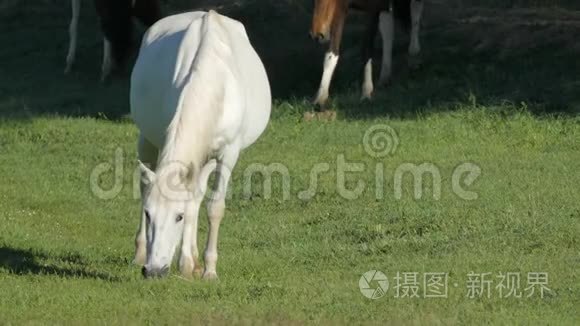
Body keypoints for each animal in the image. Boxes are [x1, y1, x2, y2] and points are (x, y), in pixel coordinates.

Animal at [130, 11, 270, 278]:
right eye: (149, 214)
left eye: (178, 217)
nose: (154, 271)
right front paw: (186, 262)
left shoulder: (227, 154)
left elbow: (213, 207)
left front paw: (207, 269)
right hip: (147, 139)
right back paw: (142, 253)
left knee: (196, 196)